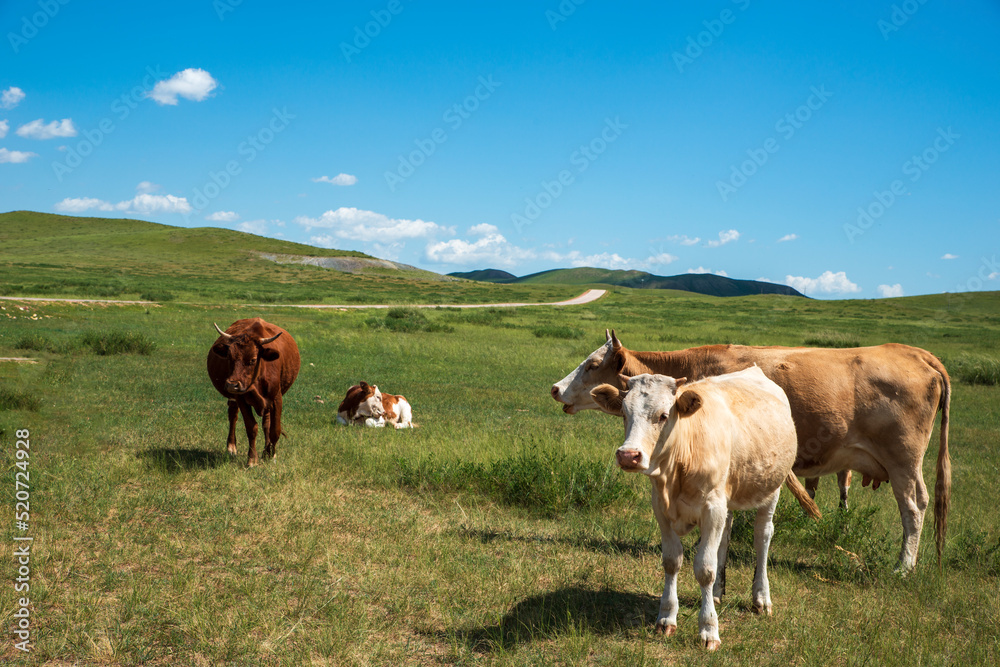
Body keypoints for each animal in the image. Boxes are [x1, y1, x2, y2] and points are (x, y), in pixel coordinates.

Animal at [207, 320, 300, 468]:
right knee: (233, 416)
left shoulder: (276, 399)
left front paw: (271, 455)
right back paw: (231, 447)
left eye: (252, 360)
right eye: (229, 357)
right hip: (234, 398)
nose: (232, 384)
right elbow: (251, 428)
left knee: (266, 424)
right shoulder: (241, 398)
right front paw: (252, 459)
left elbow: (274, 430)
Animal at [556, 332, 952, 572]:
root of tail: (915, 353)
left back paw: (903, 567)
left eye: (592, 364)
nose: (555, 388)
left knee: (914, 506)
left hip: (904, 462)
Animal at [588, 368, 816, 648]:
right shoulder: (661, 508)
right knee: (725, 538)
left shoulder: (711, 508)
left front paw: (709, 629)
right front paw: (666, 618)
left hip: (771, 489)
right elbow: (672, 561)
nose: (628, 455)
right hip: (727, 499)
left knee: (762, 536)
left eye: (663, 415)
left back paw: (761, 597)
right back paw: (718, 591)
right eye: (624, 413)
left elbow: (704, 569)